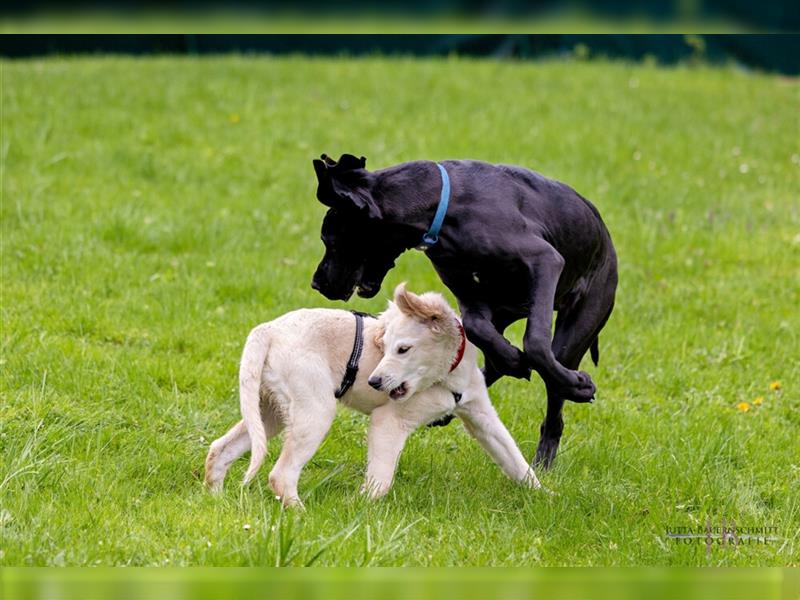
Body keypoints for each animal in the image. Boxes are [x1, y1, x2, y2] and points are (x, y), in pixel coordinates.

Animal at [205, 282, 544, 506]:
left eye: (403, 349)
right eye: (387, 346)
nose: (374, 382)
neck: (446, 373)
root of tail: (268, 330)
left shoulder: (482, 418)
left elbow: (516, 461)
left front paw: (546, 498)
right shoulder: (389, 422)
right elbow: (380, 479)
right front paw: (360, 509)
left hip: (270, 411)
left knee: (220, 449)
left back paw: (216, 500)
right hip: (313, 413)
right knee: (281, 474)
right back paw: (299, 515)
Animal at [310, 152, 616, 466]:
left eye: (330, 241)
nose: (317, 283)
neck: (444, 206)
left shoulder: (544, 261)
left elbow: (535, 342)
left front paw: (575, 384)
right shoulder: (470, 297)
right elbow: (475, 326)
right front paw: (513, 361)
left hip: (581, 322)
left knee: (555, 392)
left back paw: (554, 435)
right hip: (506, 310)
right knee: (492, 360)